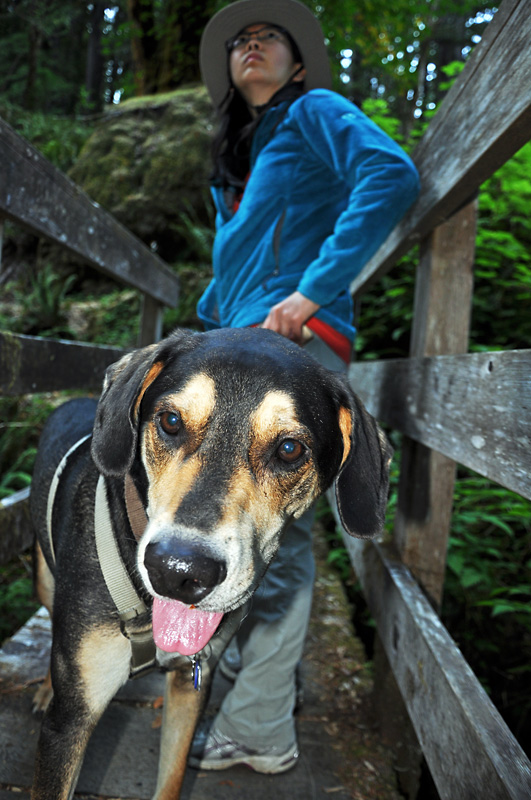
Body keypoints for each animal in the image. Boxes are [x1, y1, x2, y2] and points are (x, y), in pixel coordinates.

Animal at [30, 328, 394, 796]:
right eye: (170, 422)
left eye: (289, 449)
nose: (178, 572)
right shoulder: (71, 719)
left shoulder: (192, 683)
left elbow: (172, 775)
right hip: (45, 578)